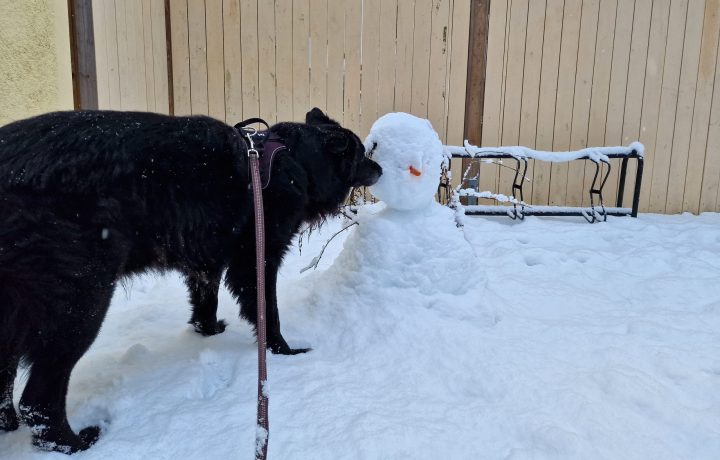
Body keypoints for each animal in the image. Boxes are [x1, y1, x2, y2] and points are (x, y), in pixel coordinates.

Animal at [0, 108, 382, 452]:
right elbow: (267, 312)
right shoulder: (256, 258)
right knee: (38, 401)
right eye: (361, 153)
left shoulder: (205, 260)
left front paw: (207, 331)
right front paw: (285, 352)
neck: (292, 161)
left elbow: (205, 299)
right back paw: (75, 443)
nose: (380, 167)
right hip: (81, 303)